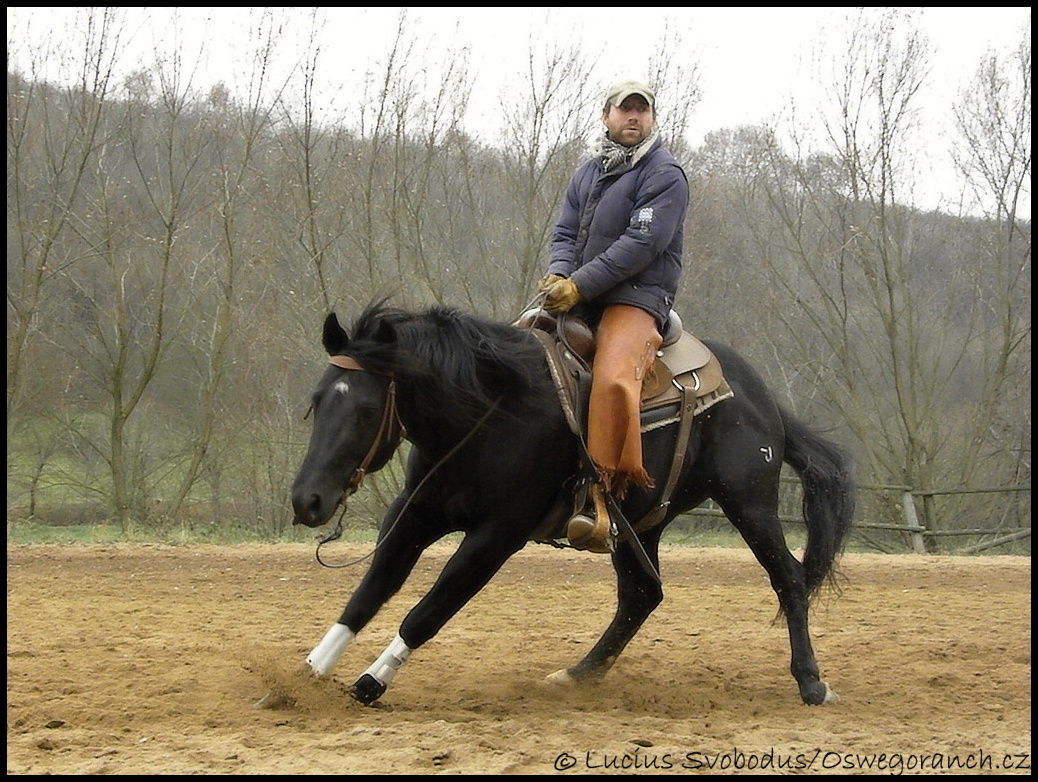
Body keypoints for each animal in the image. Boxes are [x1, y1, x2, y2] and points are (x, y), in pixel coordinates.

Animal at [288, 299, 855, 706]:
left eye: (366, 410)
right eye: (316, 401)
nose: (307, 500)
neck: (489, 412)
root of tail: (763, 398)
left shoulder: (496, 536)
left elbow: (428, 612)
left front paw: (371, 681)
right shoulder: (414, 514)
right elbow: (368, 593)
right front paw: (304, 676)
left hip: (750, 504)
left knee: (789, 577)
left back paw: (811, 682)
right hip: (640, 522)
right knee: (642, 596)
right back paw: (578, 674)